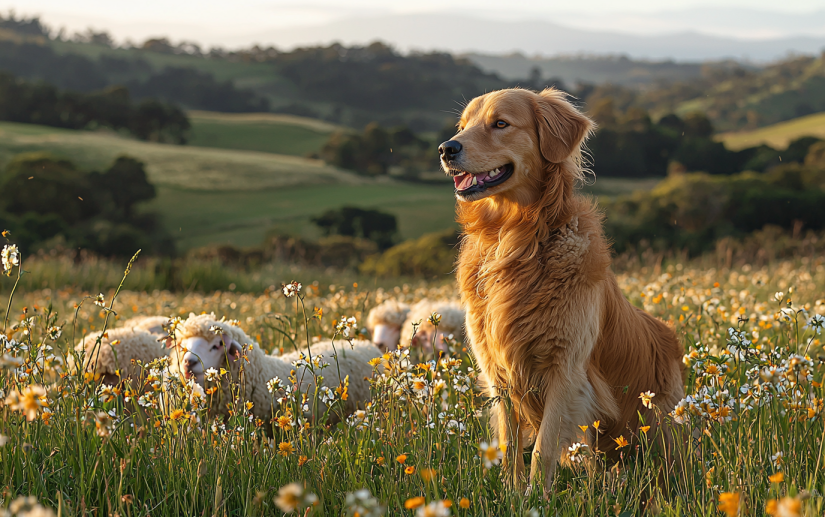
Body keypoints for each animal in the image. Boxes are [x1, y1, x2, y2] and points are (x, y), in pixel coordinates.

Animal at [440, 88, 684, 492]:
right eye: (462, 126)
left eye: (500, 123)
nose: (446, 148)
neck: (516, 239)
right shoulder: (497, 370)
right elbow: (509, 442)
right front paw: (511, 491)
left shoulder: (566, 370)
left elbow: (543, 447)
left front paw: (536, 495)